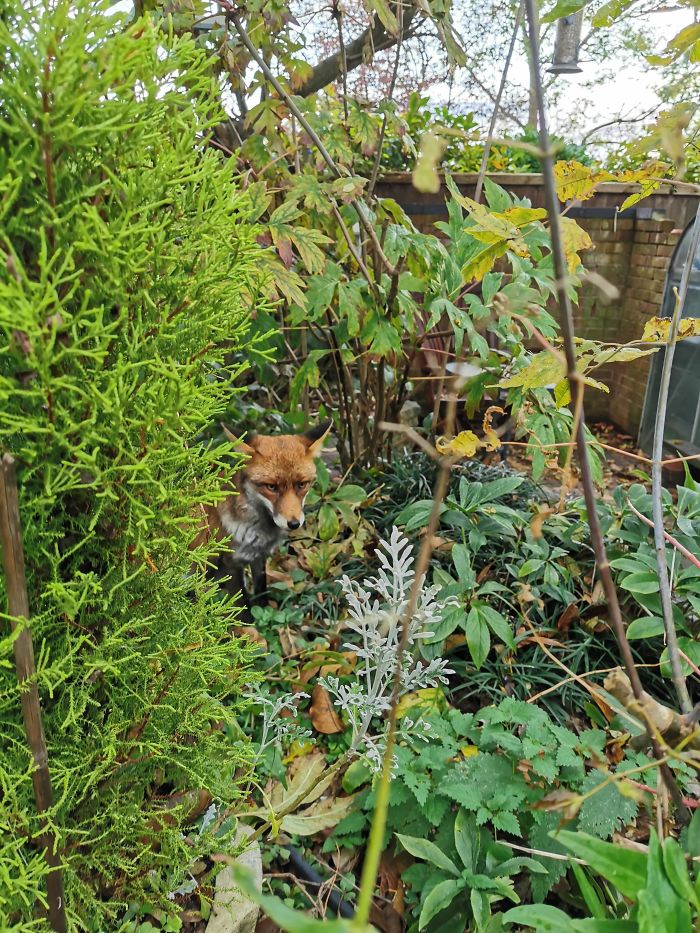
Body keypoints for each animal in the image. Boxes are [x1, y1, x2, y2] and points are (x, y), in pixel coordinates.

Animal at [196, 420, 332, 615]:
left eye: (301, 484)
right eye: (271, 487)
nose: (293, 523)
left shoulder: (258, 557)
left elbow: (261, 590)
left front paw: (264, 610)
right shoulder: (230, 564)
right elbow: (242, 607)